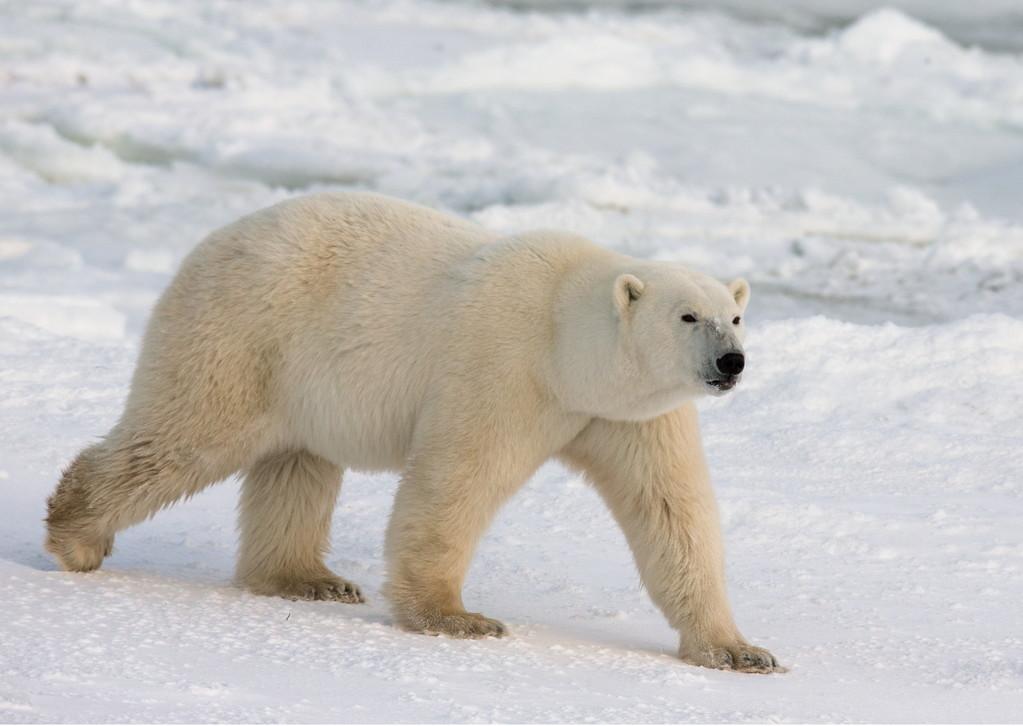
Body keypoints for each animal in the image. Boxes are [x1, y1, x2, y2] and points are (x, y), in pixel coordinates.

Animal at [46, 193, 781, 674]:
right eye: (687, 316)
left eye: (735, 315)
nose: (731, 363)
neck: (565, 341)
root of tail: (207, 243)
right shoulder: (503, 369)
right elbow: (457, 478)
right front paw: (458, 618)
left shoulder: (630, 416)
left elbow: (671, 511)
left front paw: (740, 649)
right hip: (242, 335)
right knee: (184, 434)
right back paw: (76, 535)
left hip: (295, 379)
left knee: (296, 465)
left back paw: (307, 578)